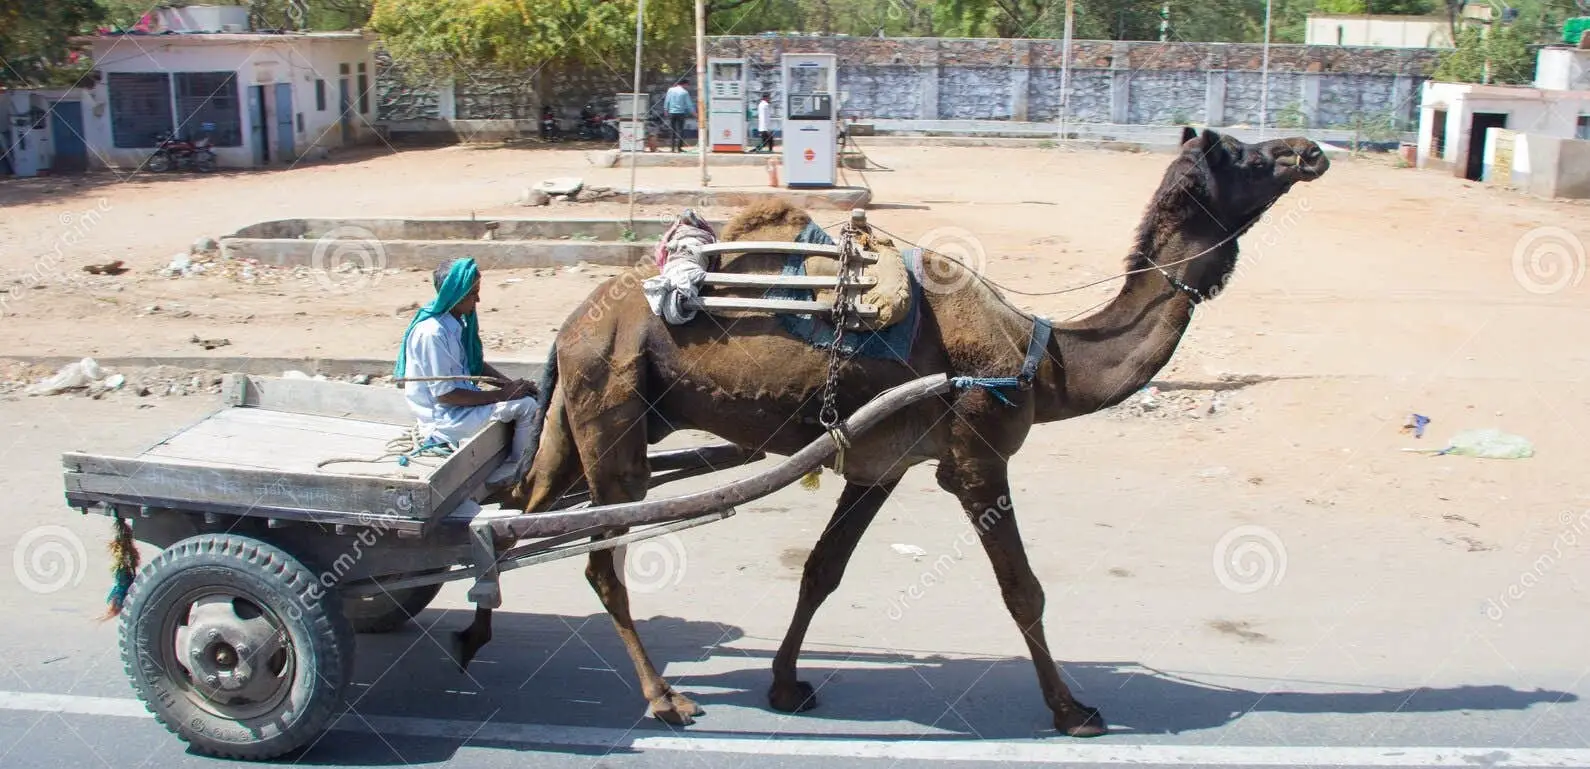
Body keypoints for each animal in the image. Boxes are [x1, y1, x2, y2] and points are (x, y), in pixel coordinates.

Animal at [508, 126, 1329, 737]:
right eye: (1241, 155)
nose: (1308, 150)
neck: (1042, 357)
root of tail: (572, 324)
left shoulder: (881, 462)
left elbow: (822, 570)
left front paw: (787, 686)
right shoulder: (977, 458)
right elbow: (1023, 590)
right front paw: (1073, 710)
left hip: (587, 427)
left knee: (528, 515)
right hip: (613, 418)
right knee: (602, 562)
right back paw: (664, 697)